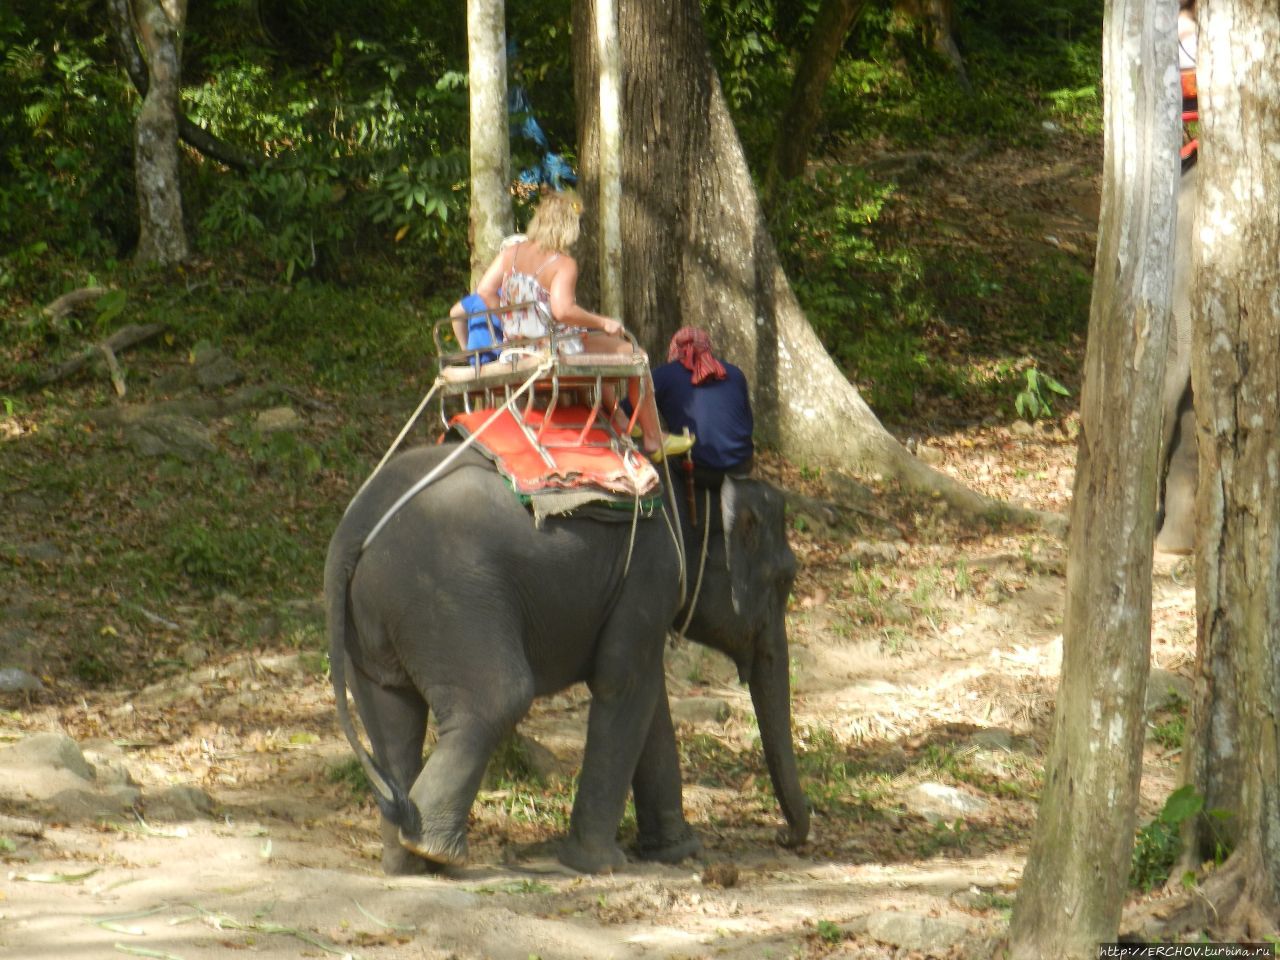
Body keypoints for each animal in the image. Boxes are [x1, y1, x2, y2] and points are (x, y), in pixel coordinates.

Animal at [327, 448, 808, 875]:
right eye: (786, 577)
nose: (787, 838)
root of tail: (352, 528)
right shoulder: (651, 572)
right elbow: (623, 682)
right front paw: (599, 864)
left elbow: (650, 697)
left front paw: (678, 852)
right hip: (447, 602)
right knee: (498, 700)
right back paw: (438, 853)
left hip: (373, 624)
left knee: (392, 720)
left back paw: (405, 863)